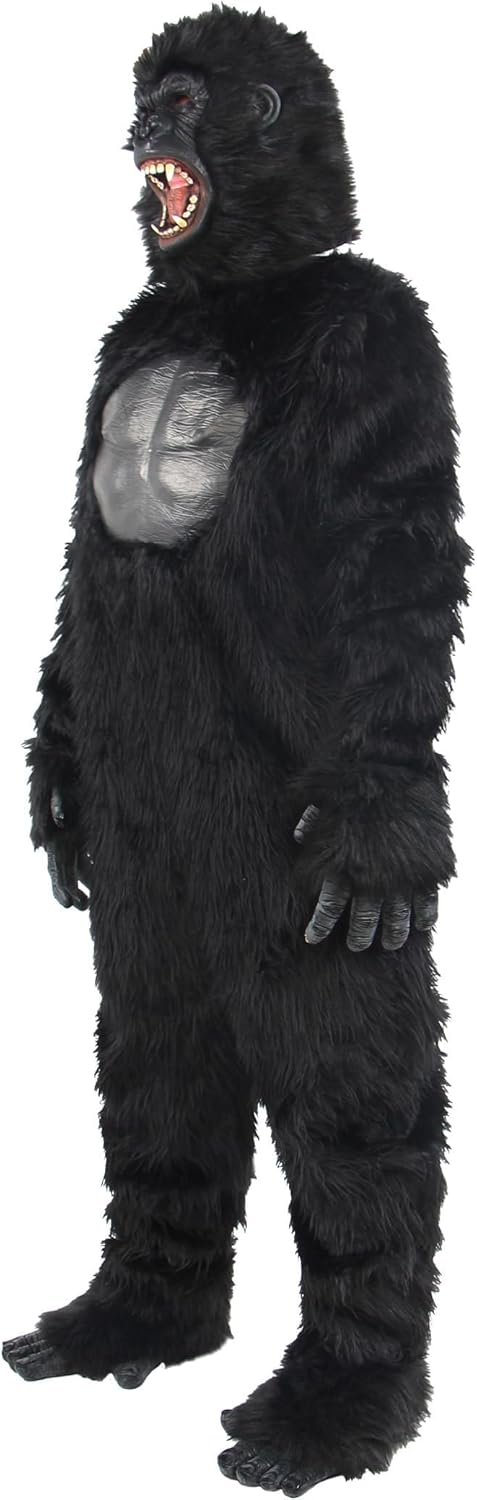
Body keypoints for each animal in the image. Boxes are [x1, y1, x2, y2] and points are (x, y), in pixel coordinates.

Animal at [2, 5, 471, 1495]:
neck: (233, 297)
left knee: (352, 1095)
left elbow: (392, 568)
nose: (137, 131)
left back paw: (339, 1405)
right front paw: (49, 777)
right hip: (157, 864)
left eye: (188, 100)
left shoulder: (383, 349)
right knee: (160, 1040)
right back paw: (139, 1317)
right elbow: (75, 576)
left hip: (276, 854)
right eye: (150, 94)